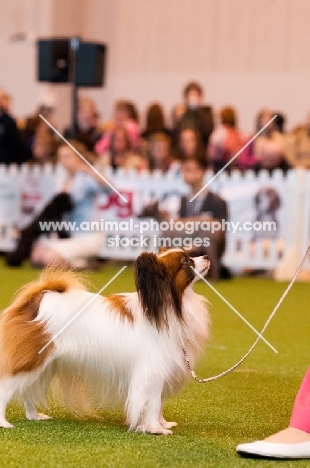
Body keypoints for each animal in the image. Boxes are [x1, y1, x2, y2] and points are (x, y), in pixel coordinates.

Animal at [0, 249, 209, 436]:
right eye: (186, 261)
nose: (206, 256)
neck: (168, 307)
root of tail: (36, 301)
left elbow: (157, 406)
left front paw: (162, 424)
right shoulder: (151, 373)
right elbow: (153, 403)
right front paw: (155, 429)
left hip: (42, 366)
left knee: (26, 392)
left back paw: (34, 416)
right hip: (30, 362)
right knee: (6, 389)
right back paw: (4, 423)